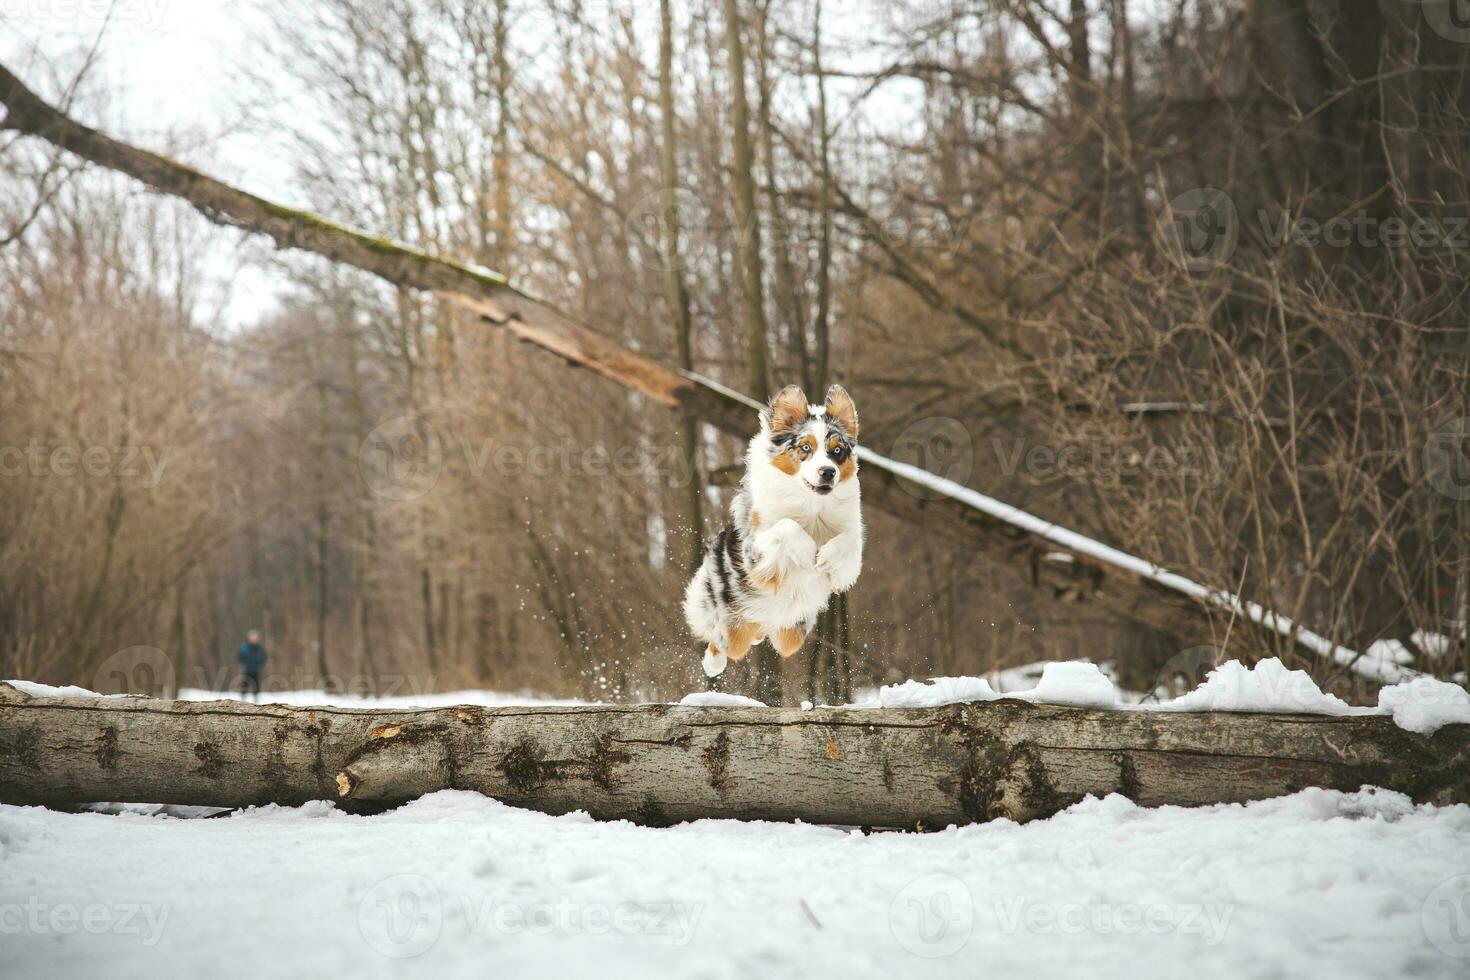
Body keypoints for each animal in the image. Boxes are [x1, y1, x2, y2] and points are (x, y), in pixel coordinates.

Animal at [685, 384, 858, 681]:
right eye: (805, 447)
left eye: (837, 451)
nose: (828, 472)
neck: (812, 506)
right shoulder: (755, 552)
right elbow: (786, 526)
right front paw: (807, 552)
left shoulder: (852, 542)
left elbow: (850, 542)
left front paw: (826, 558)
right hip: (731, 620)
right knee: (723, 640)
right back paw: (712, 662)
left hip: (793, 630)